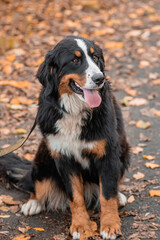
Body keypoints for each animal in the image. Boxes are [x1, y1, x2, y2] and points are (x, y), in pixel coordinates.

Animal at [0, 36, 129, 240]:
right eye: (75, 60)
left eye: (96, 57)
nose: (99, 78)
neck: (75, 111)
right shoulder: (63, 157)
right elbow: (75, 197)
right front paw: (81, 226)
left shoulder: (108, 154)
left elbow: (107, 195)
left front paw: (110, 225)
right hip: (43, 154)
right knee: (35, 183)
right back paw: (33, 203)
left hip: (124, 151)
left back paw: (120, 196)